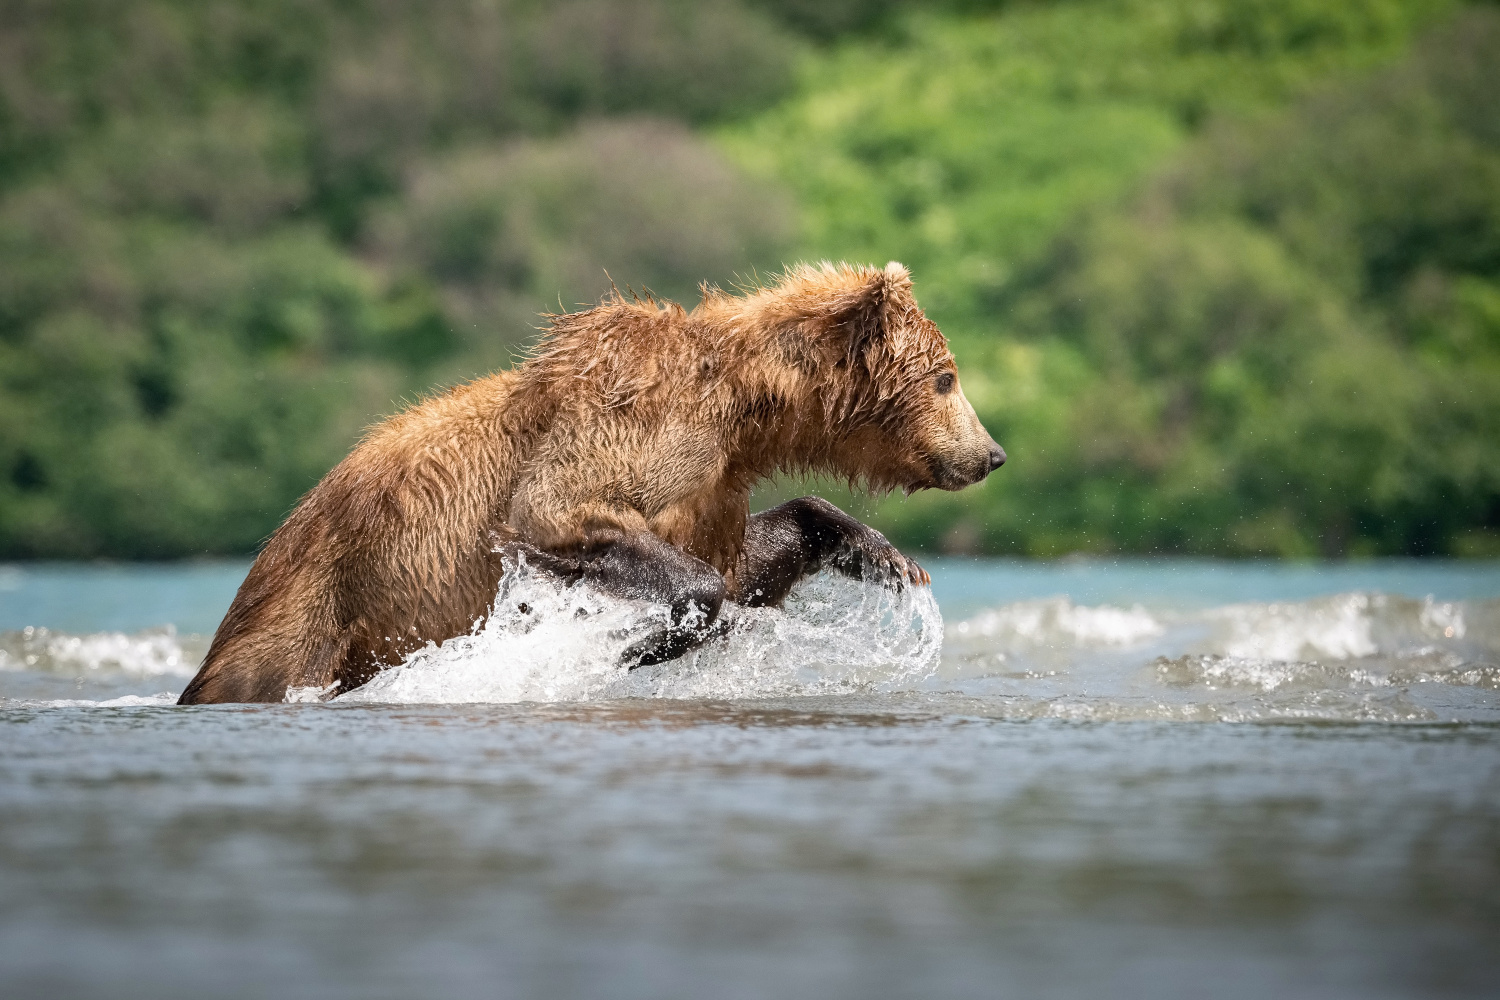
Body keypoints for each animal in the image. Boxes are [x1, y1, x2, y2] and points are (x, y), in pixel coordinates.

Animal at [181, 262, 1008, 707]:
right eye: (946, 377)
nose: (993, 453)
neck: (742, 411)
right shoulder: (616, 427)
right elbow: (562, 515)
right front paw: (639, 639)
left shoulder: (711, 482)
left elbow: (746, 554)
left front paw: (883, 554)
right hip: (317, 600)